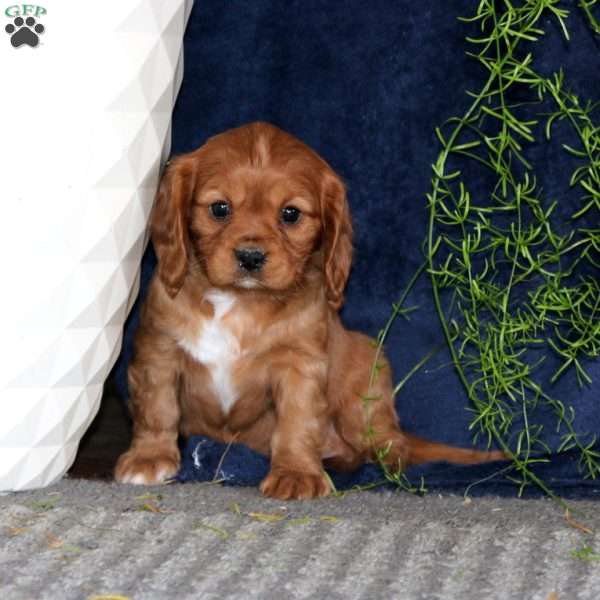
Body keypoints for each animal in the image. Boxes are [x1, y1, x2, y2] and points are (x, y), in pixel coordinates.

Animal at [115, 120, 504, 496]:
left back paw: (389, 467)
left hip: (366, 376)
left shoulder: (299, 365)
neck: (240, 301)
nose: (250, 257)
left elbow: (297, 422)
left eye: (291, 214)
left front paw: (296, 474)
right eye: (220, 208)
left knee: (388, 441)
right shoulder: (159, 351)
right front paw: (149, 458)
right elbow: (157, 408)